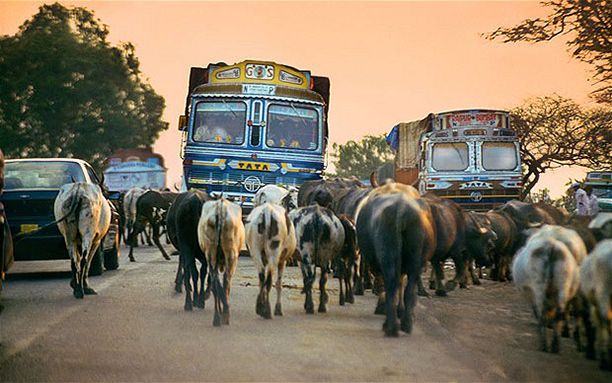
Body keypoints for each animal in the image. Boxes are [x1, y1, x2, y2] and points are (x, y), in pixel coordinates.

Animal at [196, 198, 244, 328]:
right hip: (231, 255)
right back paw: (225, 316)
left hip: (211, 253)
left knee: (215, 282)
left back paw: (217, 317)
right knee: (226, 281)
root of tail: (220, 207)